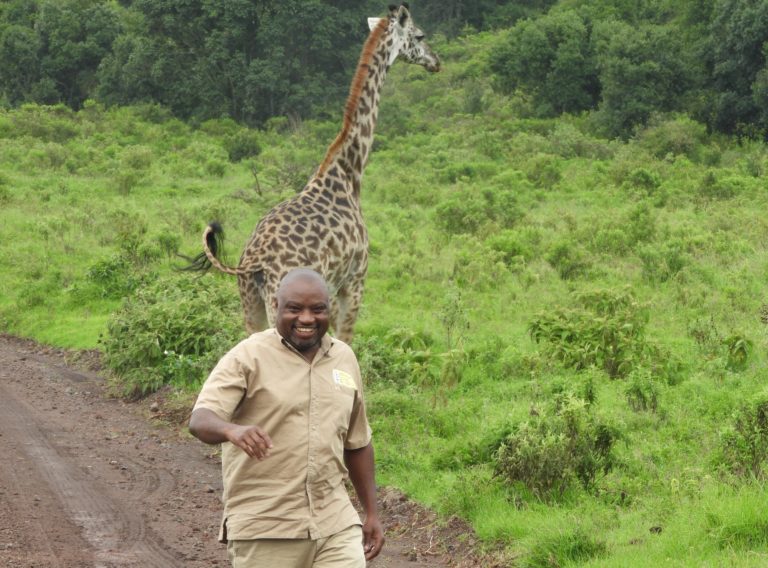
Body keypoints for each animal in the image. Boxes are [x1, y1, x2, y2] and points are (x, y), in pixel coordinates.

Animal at [184, 3, 440, 342]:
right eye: (420, 35)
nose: (436, 61)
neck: (348, 173)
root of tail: (253, 261)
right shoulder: (353, 281)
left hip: (249, 303)